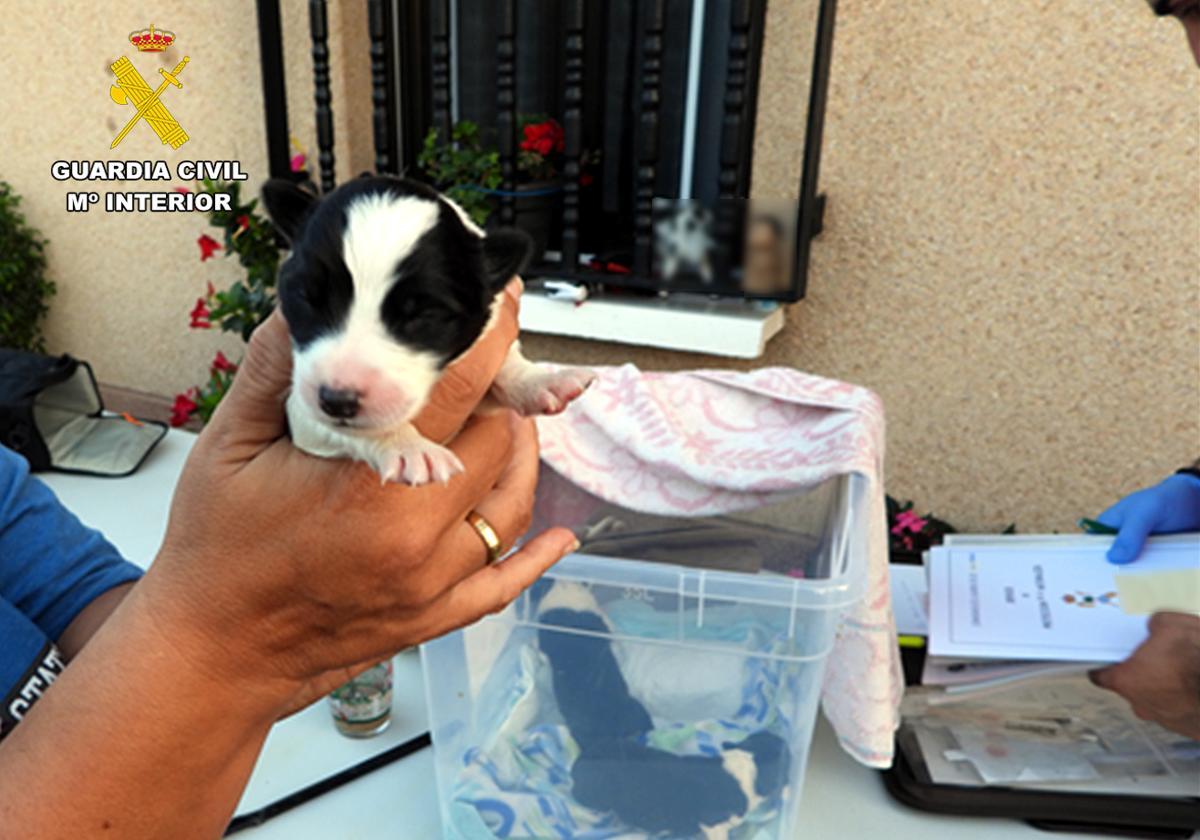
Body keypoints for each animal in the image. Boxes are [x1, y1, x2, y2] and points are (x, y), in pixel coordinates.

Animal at [265, 174, 597, 482]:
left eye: (424, 314)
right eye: (306, 298)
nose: (337, 401)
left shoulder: (480, 400)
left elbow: (506, 363)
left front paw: (543, 380)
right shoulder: (299, 411)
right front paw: (408, 447)